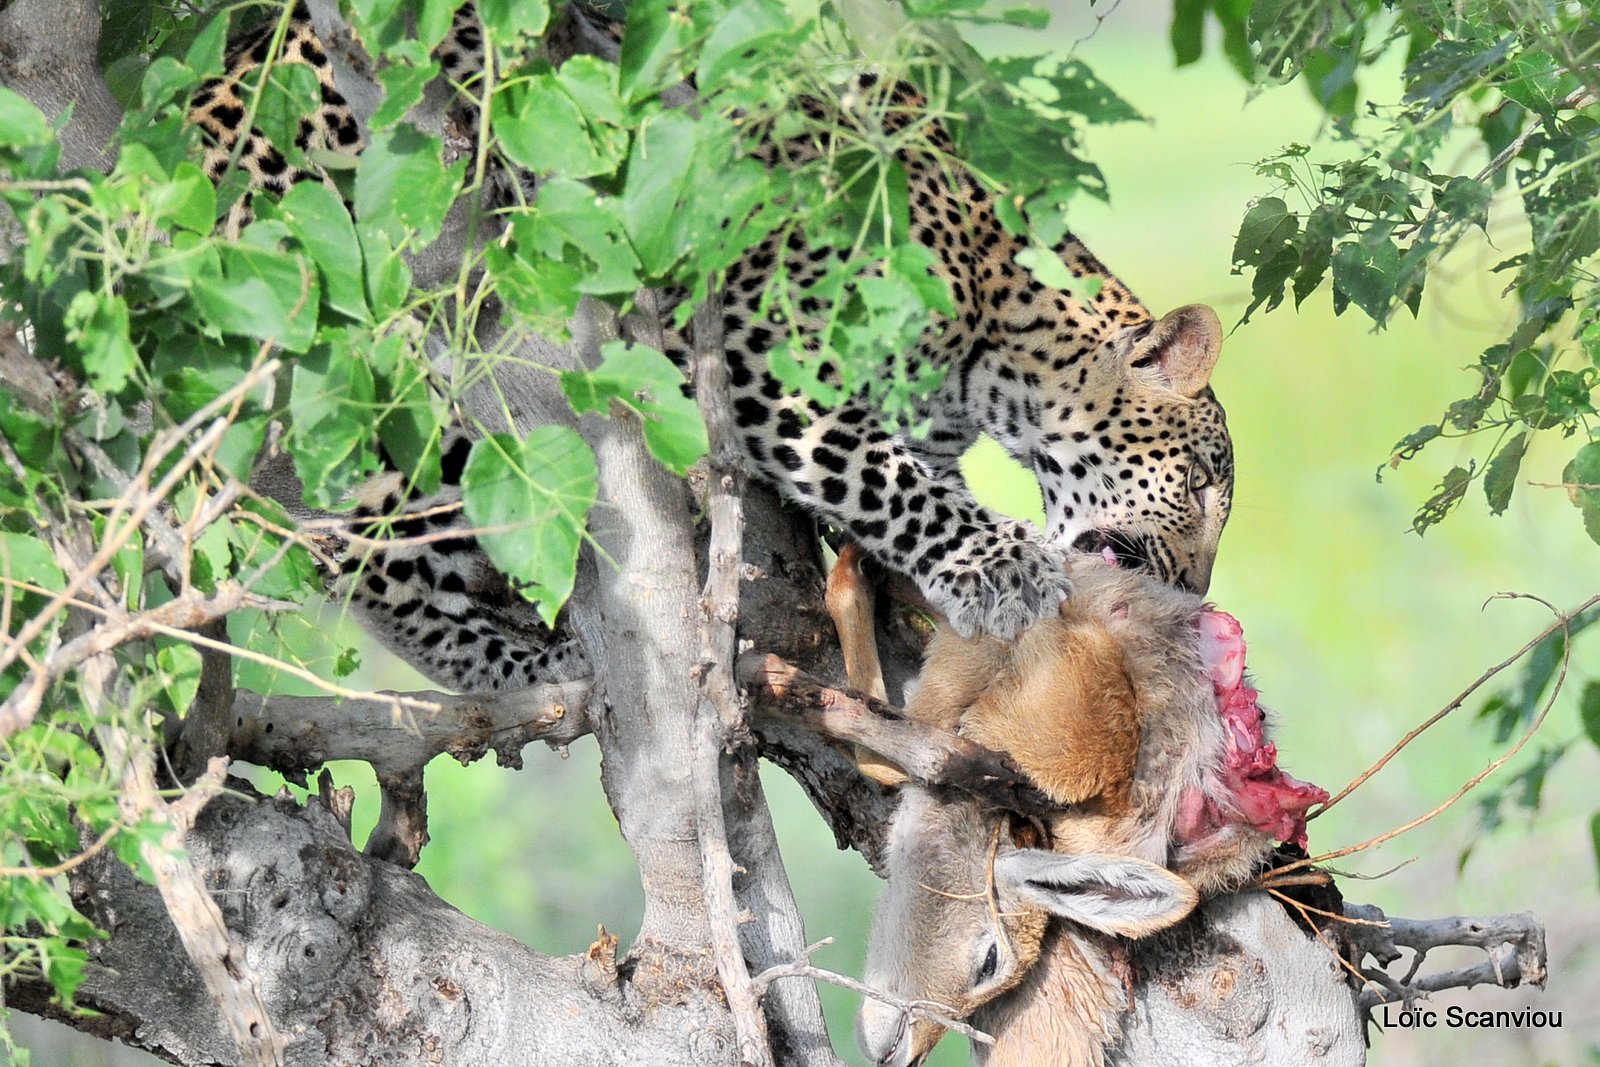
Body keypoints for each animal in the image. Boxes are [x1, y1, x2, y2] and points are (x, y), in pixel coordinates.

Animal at [190, 4, 1235, 697]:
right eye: (1199, 487)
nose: (1190, 590)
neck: (996, 339)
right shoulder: (770, 363)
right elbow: (893, 485)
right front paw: (1007, 566)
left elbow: (906, 497)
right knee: (365, 562)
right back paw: (525, 659)